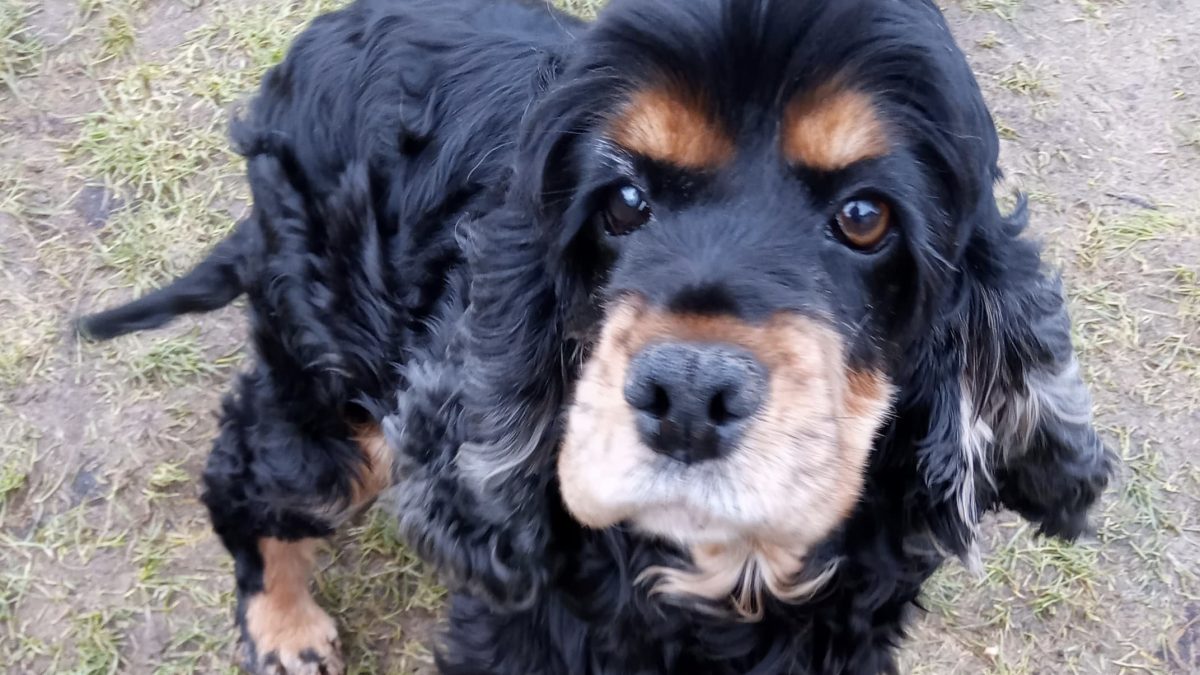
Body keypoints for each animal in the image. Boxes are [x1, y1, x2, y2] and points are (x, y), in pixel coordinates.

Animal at [82, 0, 1113, 667]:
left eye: (867, 217)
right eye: (621, 201)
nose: (688, 396)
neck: (719, 577)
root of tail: (308, 48)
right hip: (338, 385)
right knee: (253, 472)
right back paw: (286, 628)